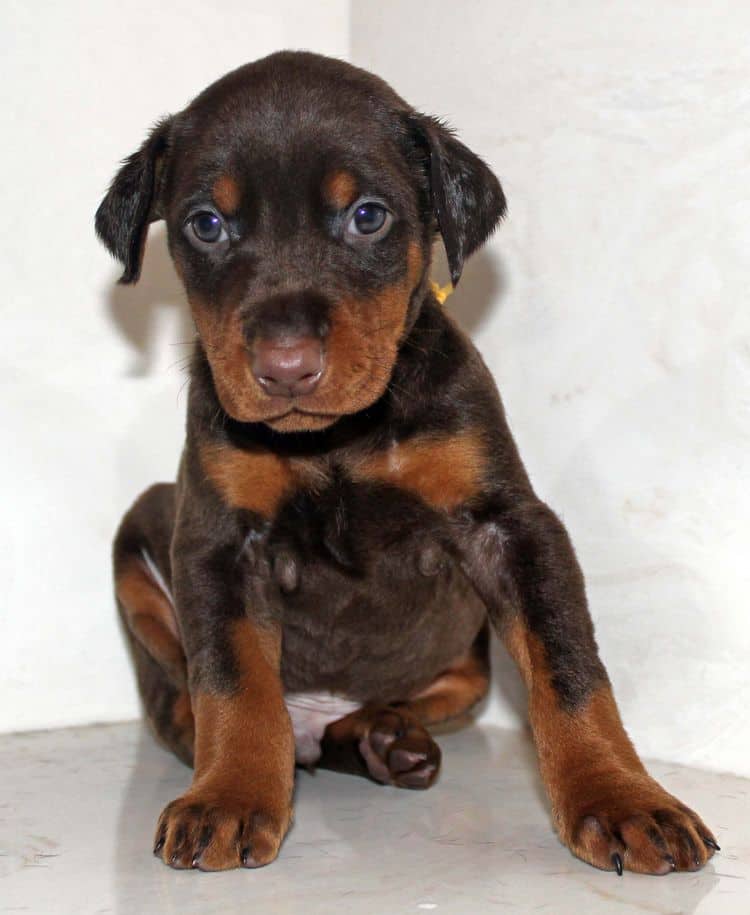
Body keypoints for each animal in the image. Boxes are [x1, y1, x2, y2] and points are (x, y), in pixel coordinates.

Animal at [97, 48, 720, 872]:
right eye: (206, 224)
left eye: (368, 216)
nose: (285, 367)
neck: (335, 437)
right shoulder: (219, 540)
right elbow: (232, 682)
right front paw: (228, 795)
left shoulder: (510, 527)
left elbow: (569, 667)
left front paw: (623, 799)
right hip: (142, 535)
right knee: (191, 702)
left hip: (467, 658)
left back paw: (386, 736)